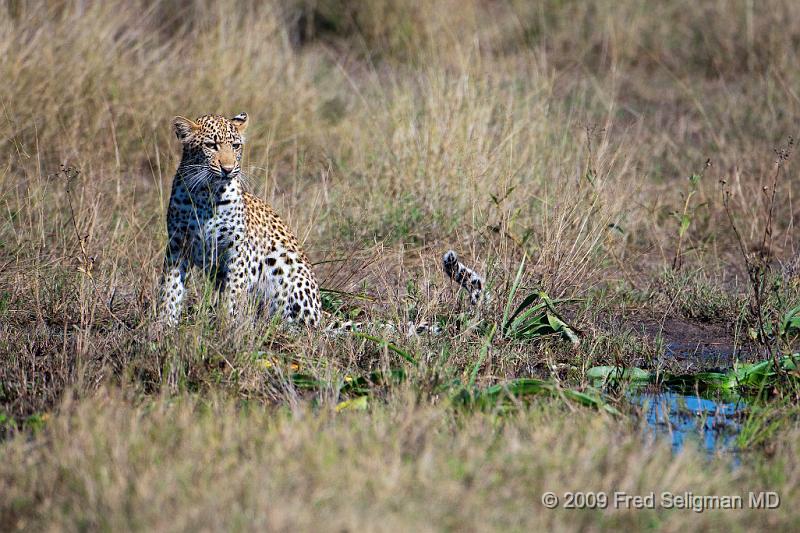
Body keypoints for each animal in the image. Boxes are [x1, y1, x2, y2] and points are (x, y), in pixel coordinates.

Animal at [158, 112, 320, 326]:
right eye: (211, 145)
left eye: (235, 146)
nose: (228, 169)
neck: (206, 193)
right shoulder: (177, 244)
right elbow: (170, 287)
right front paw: (163, 324)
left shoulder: (237, 250)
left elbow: (233, 292)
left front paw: (227, 325)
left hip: (282, 260)